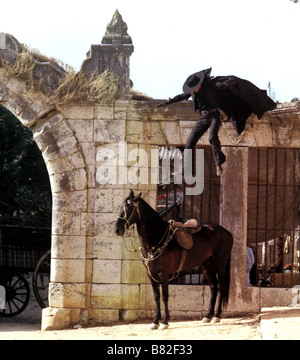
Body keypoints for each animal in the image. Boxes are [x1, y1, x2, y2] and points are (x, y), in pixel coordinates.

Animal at [113, 191, 233, 330]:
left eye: (129, 207)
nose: (117, 229)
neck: (156, 239)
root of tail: (227, 232)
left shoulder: (164, 273)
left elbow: (165, 296)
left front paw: (165, 322)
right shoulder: (151, 274)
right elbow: (156, 296)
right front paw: (155, 321)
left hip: (220, 264)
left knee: (222, 286)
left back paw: (217, 316)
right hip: (207, 266)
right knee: (214, 287)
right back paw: (207, 316)